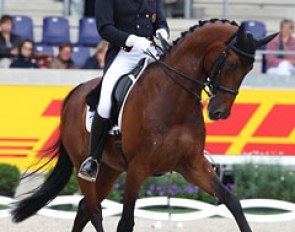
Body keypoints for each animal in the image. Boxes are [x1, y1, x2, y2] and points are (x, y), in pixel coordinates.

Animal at [11, 20, 276, 232]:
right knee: (94, 210)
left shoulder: (192, 165)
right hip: (84, 167)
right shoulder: (138, 169)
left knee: (85, 208)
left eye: (249, 68)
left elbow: (233, 201)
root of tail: (75, 93)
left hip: (109, 169)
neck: (173, 101)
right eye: (231, 64)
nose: (220, 112)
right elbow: (126, 222)